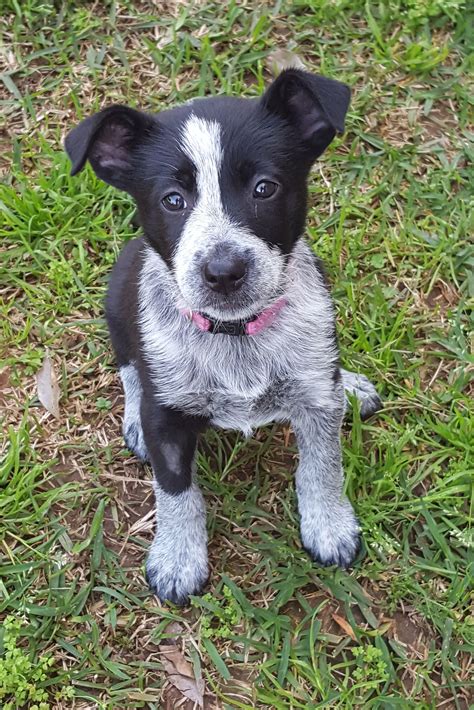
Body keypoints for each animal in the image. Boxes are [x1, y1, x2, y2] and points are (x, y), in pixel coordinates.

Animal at [65, 68, 382, 608]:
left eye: (264, 188)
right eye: (173, 200)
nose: (223, 271)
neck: (236, 333)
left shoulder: (316, 399)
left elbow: (323, 465)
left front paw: (329, 525)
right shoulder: (166, 417)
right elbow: (175, 490)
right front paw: (177, 558)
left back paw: (353, 386)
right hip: (119, 300)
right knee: (129, 368)